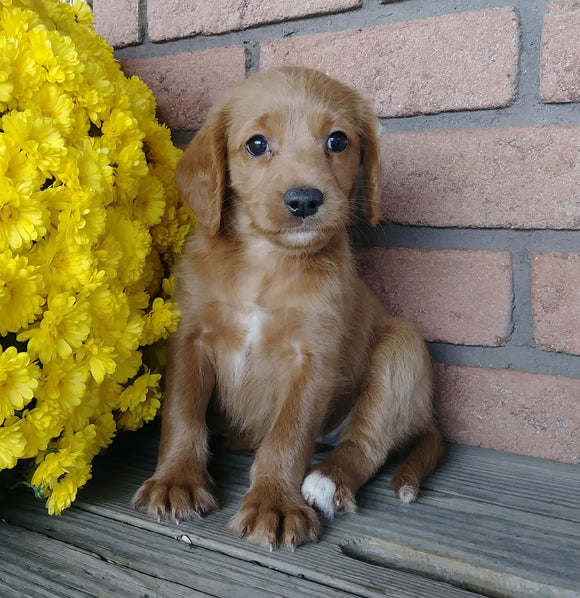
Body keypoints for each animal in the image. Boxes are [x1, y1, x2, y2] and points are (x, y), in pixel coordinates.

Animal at [134, 68, 444, 552]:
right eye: (257, 144)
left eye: (338, 140)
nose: (304, 200)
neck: (265, 264)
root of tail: (426, 416)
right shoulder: (190, 339)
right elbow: (182, 415)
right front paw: (176, 481)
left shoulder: (311, 360)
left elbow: (288, 437)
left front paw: (274, 503)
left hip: (402, 349)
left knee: (365, 443)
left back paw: (327, 482)